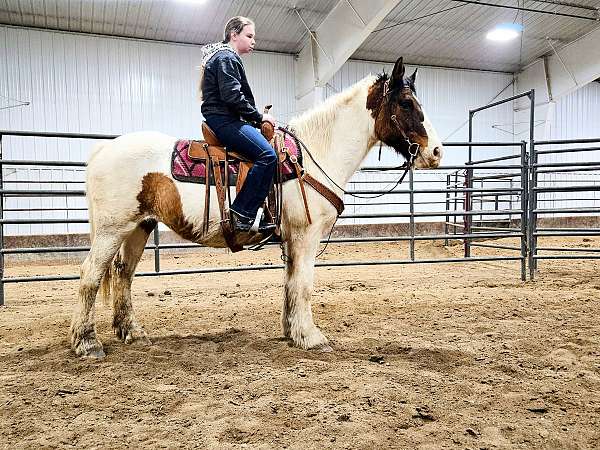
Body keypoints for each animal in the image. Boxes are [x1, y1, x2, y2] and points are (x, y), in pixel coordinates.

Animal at [71, 57, 446, 358]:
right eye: (406, 102)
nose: (437, 152)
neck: (310, 157)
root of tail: (102, 151)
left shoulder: (291, 239)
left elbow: (291, 284)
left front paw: (292, 332)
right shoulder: (307, 236)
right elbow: (304, 284)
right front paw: (312, 337)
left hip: (139, 226)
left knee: (123, 275)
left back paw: (132, 333)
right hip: (111, 230)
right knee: (90, 275)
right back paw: (87, 343)